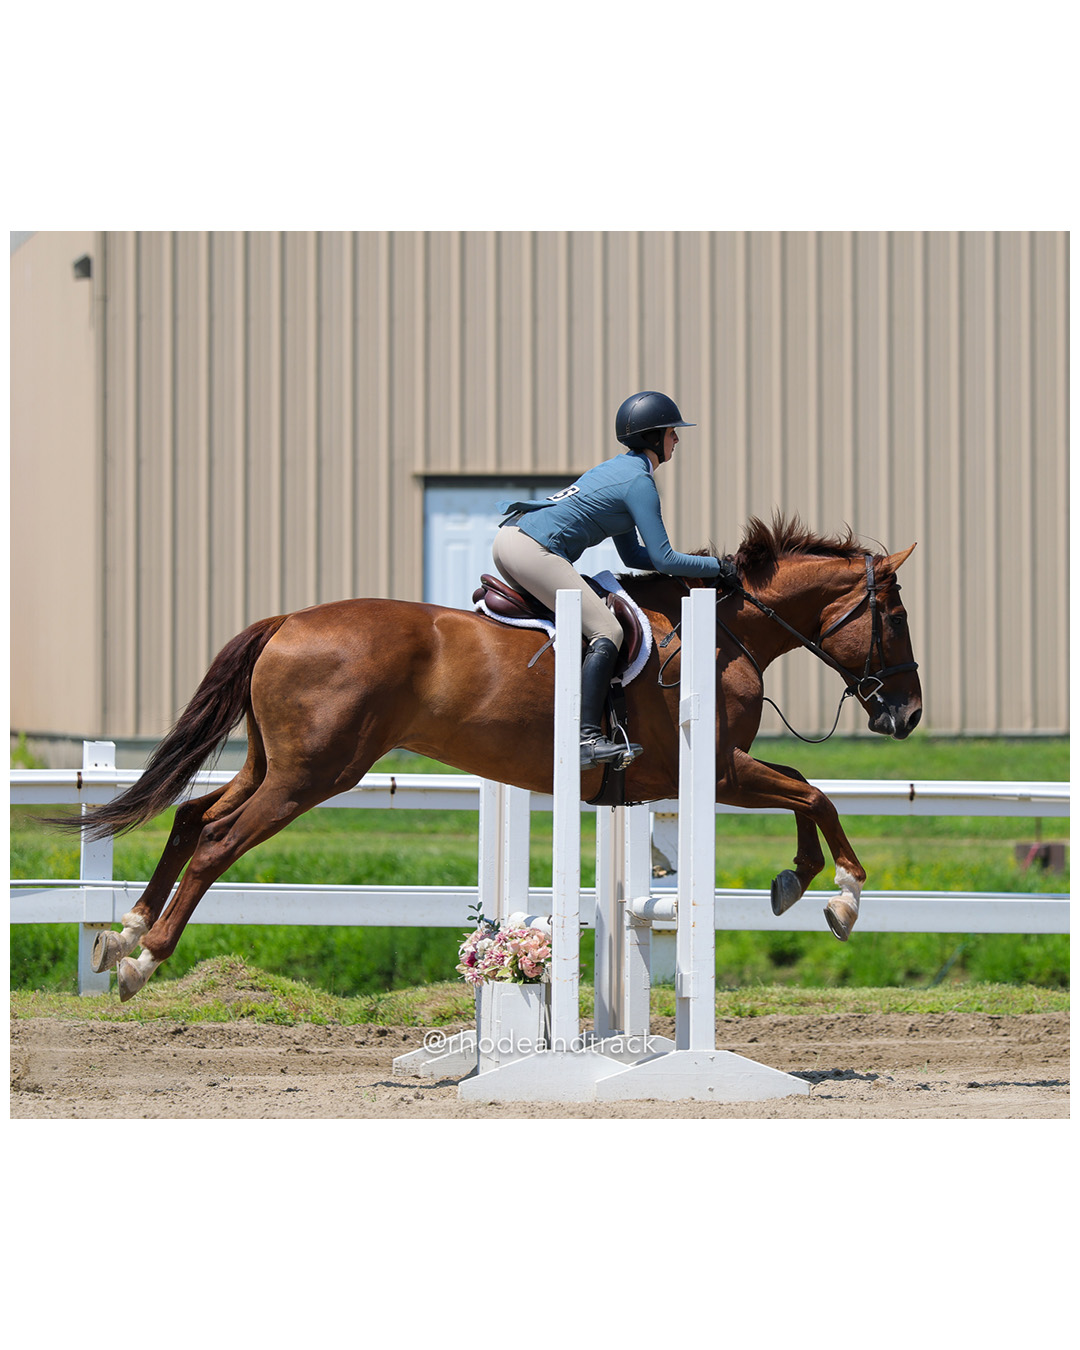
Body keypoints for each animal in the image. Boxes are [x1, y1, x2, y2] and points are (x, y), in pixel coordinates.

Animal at [57, 513, 921, 1001]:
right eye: (896, 614)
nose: (907, 714)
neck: (726, 633)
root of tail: (287, 622)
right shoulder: (710, 772)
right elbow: (814, 793)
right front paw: (840, 894)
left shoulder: (709, 775)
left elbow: (806, 791)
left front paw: (796, 884)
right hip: (313, 775)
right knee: (214, 840)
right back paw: (142, 963)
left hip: (275, 763)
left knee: (192, 815)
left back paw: (122, 932)